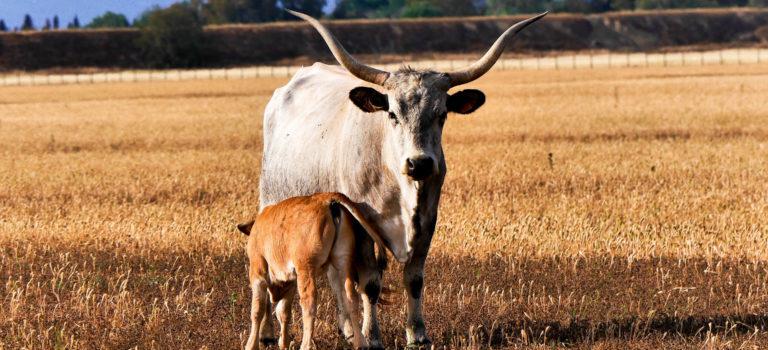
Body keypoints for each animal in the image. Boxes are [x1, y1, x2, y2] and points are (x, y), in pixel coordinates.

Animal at [237, 191, 388, 350]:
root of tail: (327, 199)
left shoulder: (257, 273)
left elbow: (257, 311)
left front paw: (251, 344)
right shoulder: (290, 280)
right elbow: (283, 312)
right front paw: (284, 343)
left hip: (306, 268)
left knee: (309, 303)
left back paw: (306, 344)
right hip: (343, 262)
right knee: (351, 299)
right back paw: (361, 342)